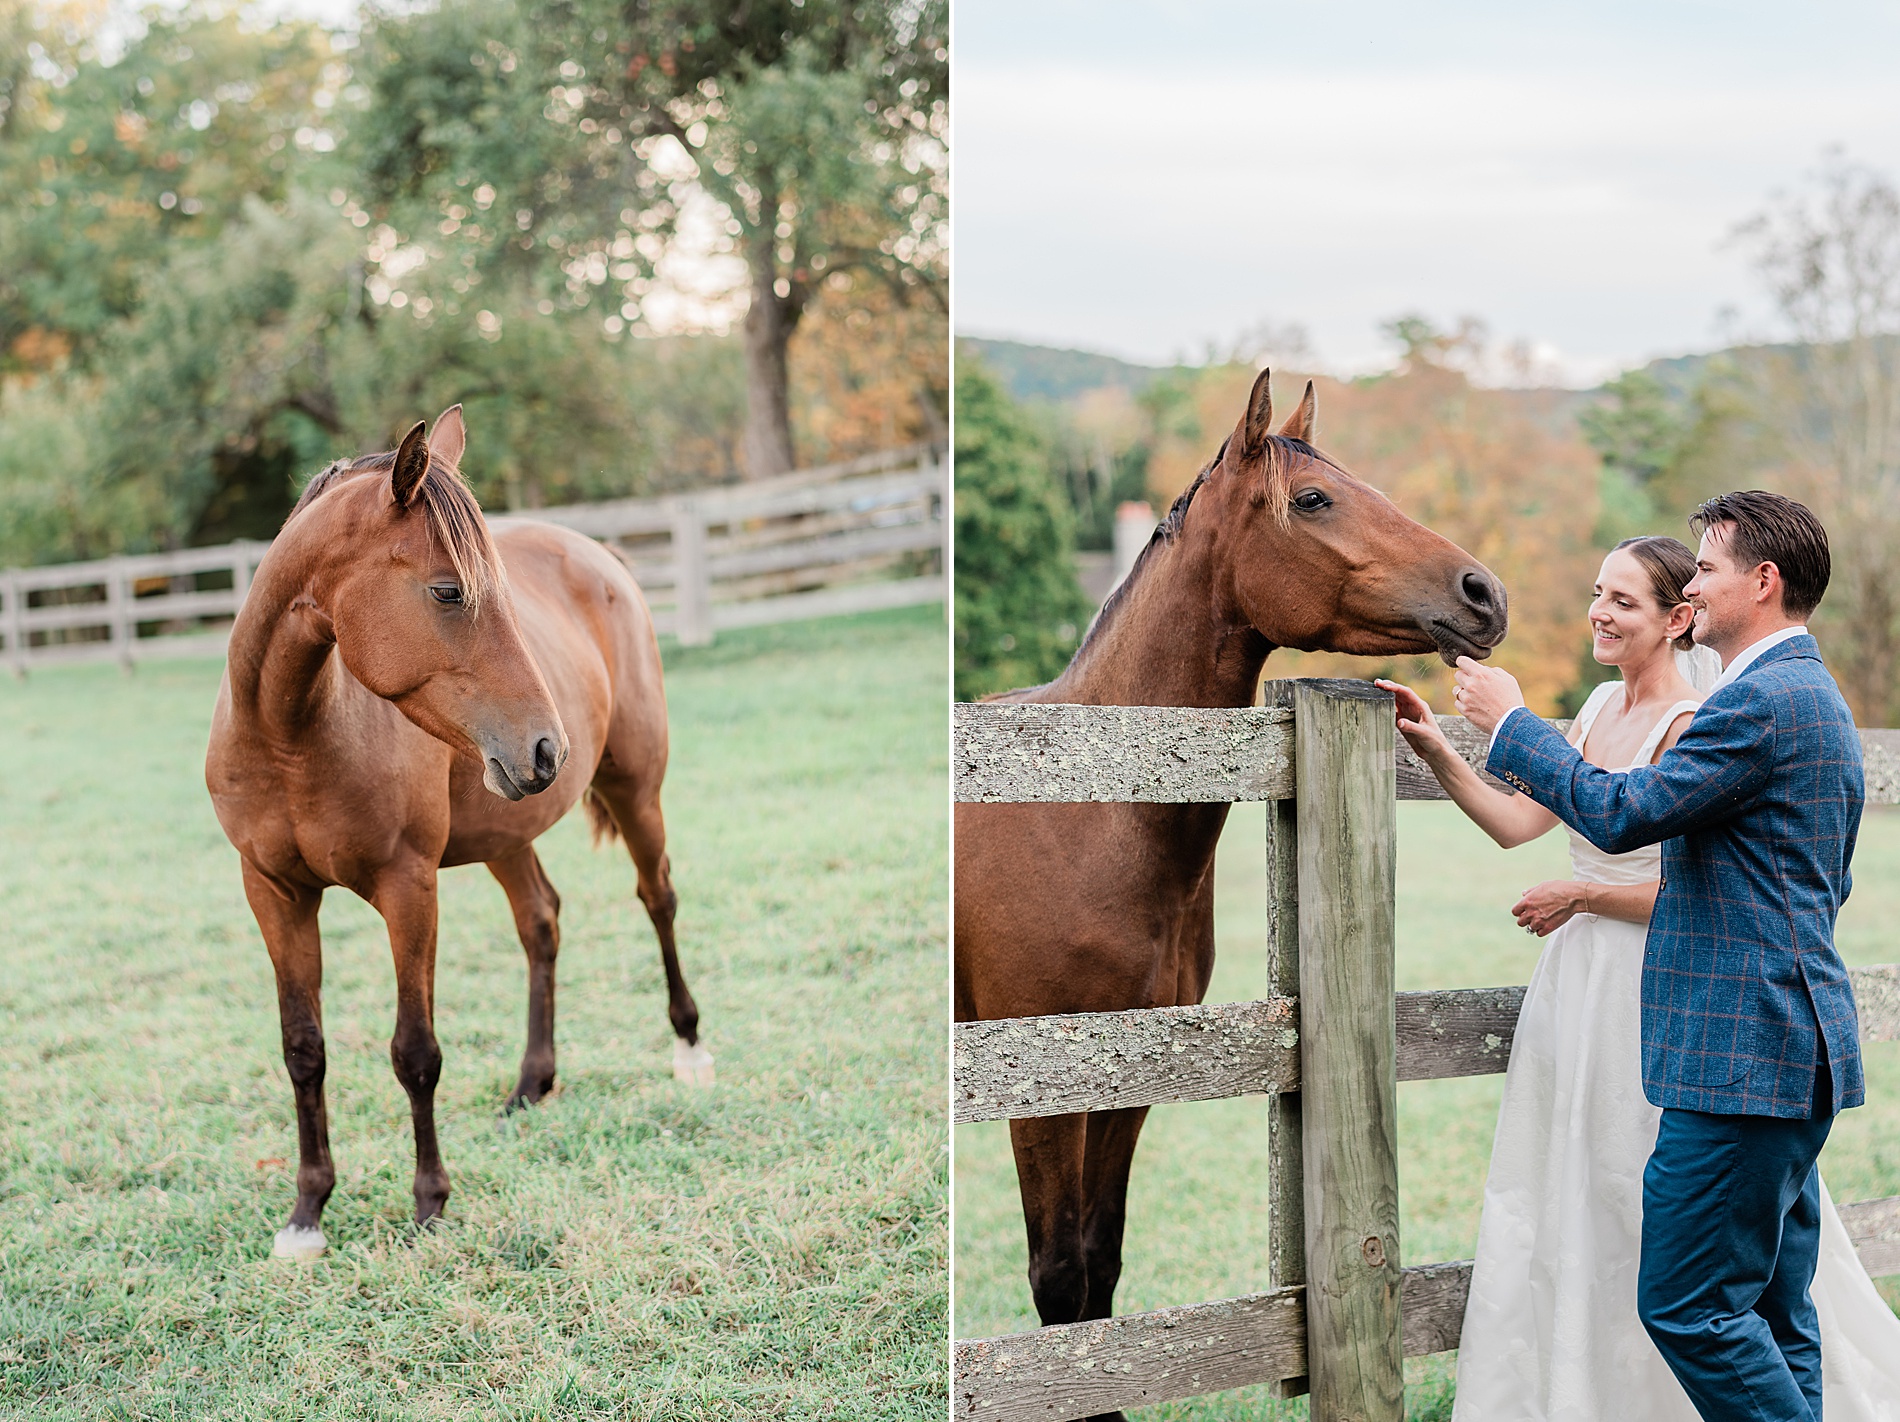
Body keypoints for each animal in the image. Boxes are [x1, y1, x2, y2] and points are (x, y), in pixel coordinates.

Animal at [205, 406, 707, 1260]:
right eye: (447, 591)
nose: (548, 748)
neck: (292, 736)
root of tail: (599, 556)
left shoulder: (407, 888)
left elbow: (415, 1051)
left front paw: (429, 1202)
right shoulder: (272, 891)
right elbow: (303, 1048)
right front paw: (307, 1213)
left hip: (635, 789)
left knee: (658, 897)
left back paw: (689, 1050)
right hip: (509, 829)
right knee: (542, 922)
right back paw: (531, 1084)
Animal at [953, 372, 1509, 1383]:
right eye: (1315, 498)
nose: (1483, 592)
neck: (1082, 803)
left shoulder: (1128, 1076)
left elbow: (1097, 1271)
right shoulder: (1041, 1093)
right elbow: (1058, 1282)